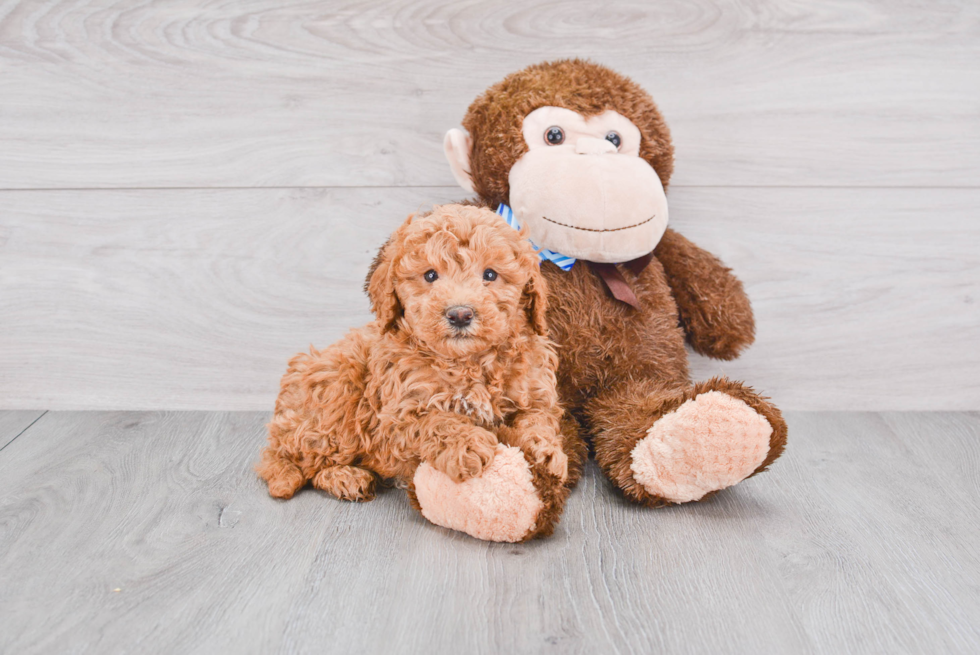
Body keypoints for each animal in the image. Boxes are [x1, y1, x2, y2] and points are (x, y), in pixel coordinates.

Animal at [258, 205, 568, 502]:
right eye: (430, 275)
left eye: (490, 274)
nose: (460, 314)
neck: (468, 361)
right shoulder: (393, 418)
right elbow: (435, 421)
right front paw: (468, 444)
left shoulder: (534, 393)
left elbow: (537, 419)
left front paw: (546, 452)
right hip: (338, 388)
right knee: (294, 459)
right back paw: (341, 477)